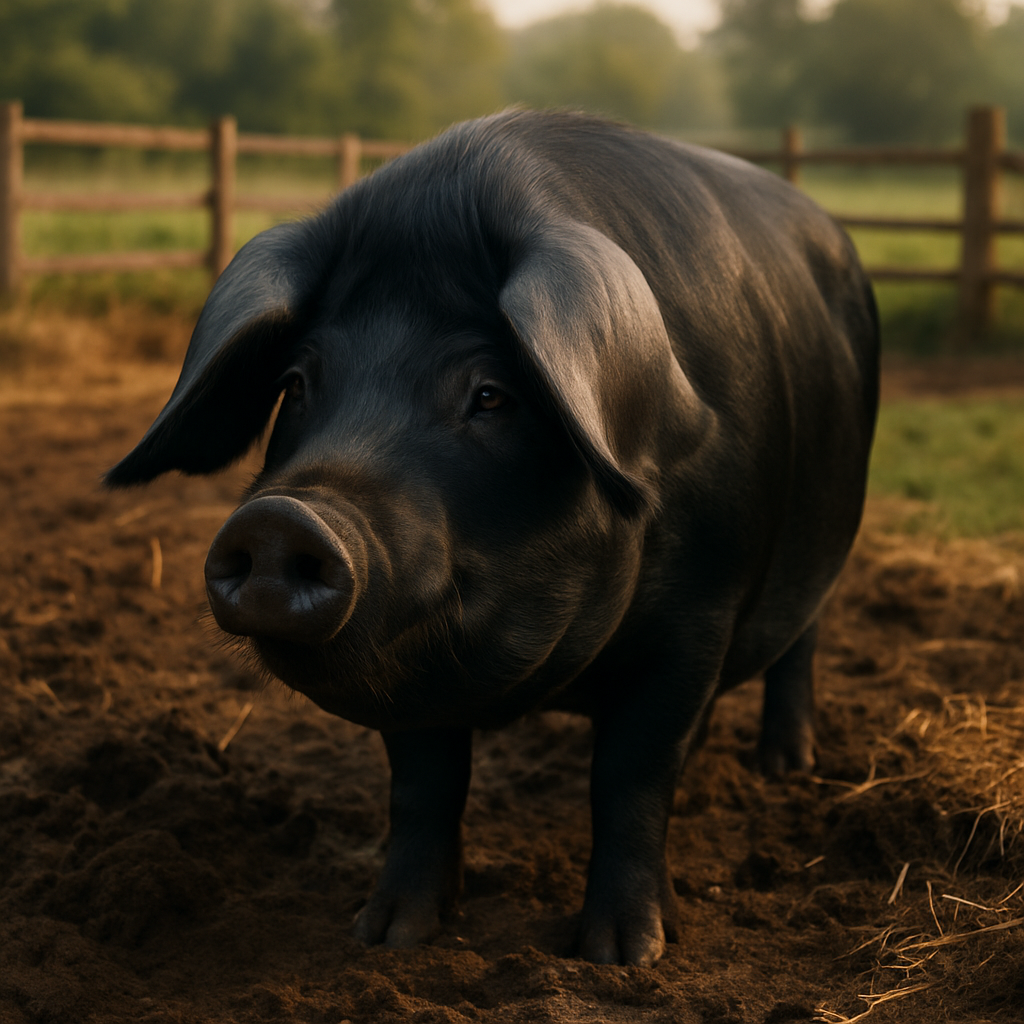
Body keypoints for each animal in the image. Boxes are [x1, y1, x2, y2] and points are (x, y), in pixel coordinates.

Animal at [107, 110, 879, 966]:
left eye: (491, 394)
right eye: (299, 383)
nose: (284, 518)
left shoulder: (699, 613)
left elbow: (632, 775)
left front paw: (623, 956)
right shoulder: (409, 665)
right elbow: (424, 786)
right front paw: (385, 936)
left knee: (802, 641)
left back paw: (787, 768)